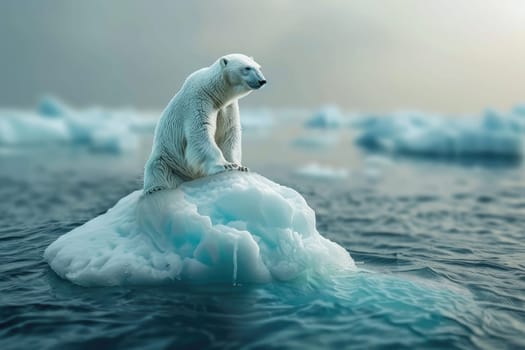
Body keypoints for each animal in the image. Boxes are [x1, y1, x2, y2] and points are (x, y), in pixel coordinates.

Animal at [143, 54, 266, 194]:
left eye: (259, 67)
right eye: (247, 68)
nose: (262, 81)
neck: (213, 92)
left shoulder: (227, 107)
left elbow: (229, 134)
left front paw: (240, 166)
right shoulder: (198, 101)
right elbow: (201, 132)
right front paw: (225, 165)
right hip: (168, 159)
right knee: (158, 168)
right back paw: (155, 188)